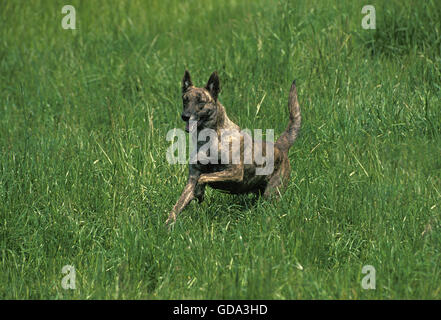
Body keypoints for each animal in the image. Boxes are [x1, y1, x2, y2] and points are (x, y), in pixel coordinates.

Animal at [163, 70, 300, 225]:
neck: (209, 139)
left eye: (201, 102)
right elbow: (177, 207)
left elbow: (204, 178)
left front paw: (199, 192)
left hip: (272, 194)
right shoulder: (192, 179)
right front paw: (166, 226)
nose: (185, 116)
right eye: (185, 100)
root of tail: (280, 147)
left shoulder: (234, 173)